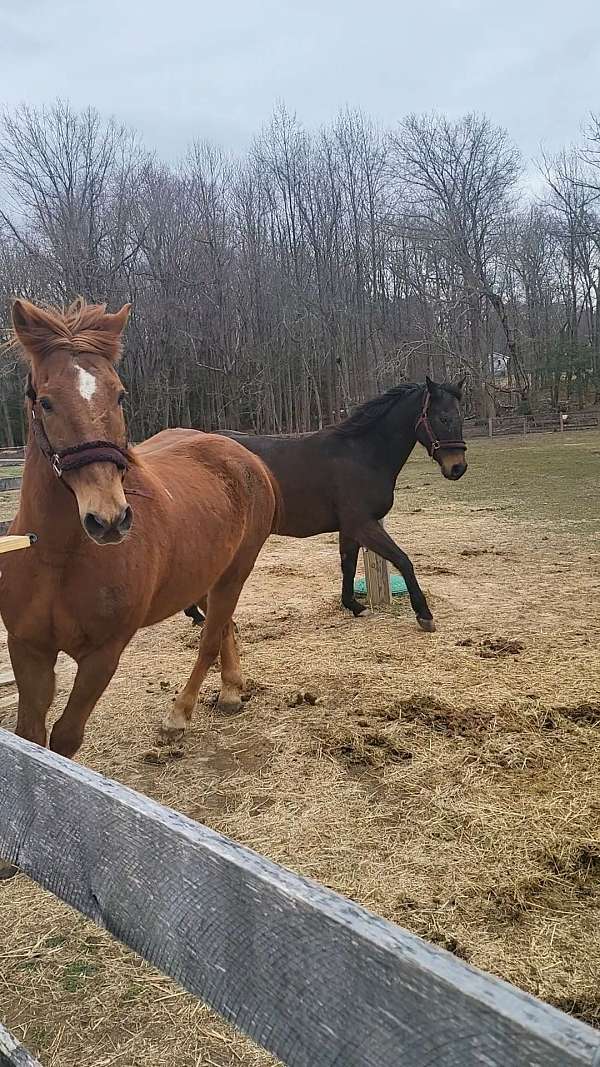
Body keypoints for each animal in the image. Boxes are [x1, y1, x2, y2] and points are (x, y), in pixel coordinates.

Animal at [0, 298, 278, 762]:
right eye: (47, 402)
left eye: (119, 394)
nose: (109, 519)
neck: (57, 557)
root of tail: (240, 453)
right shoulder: (28, 650)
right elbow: (31, 736)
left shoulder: (102, 656)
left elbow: (65, 739)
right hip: (209, 575)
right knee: (226, 627)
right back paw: (230, 691)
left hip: (235, 573)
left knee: (210, 637)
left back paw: (180, 715)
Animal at [184, 378, 466, 633]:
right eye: (442, 418)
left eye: (460, 417)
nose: (458, 468)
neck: (362, 454)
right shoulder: (363, 524)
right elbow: (403, 560)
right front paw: (424, 614)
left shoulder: (350, 528)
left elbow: (348, 564)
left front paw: (354, 605)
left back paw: (197, 615)